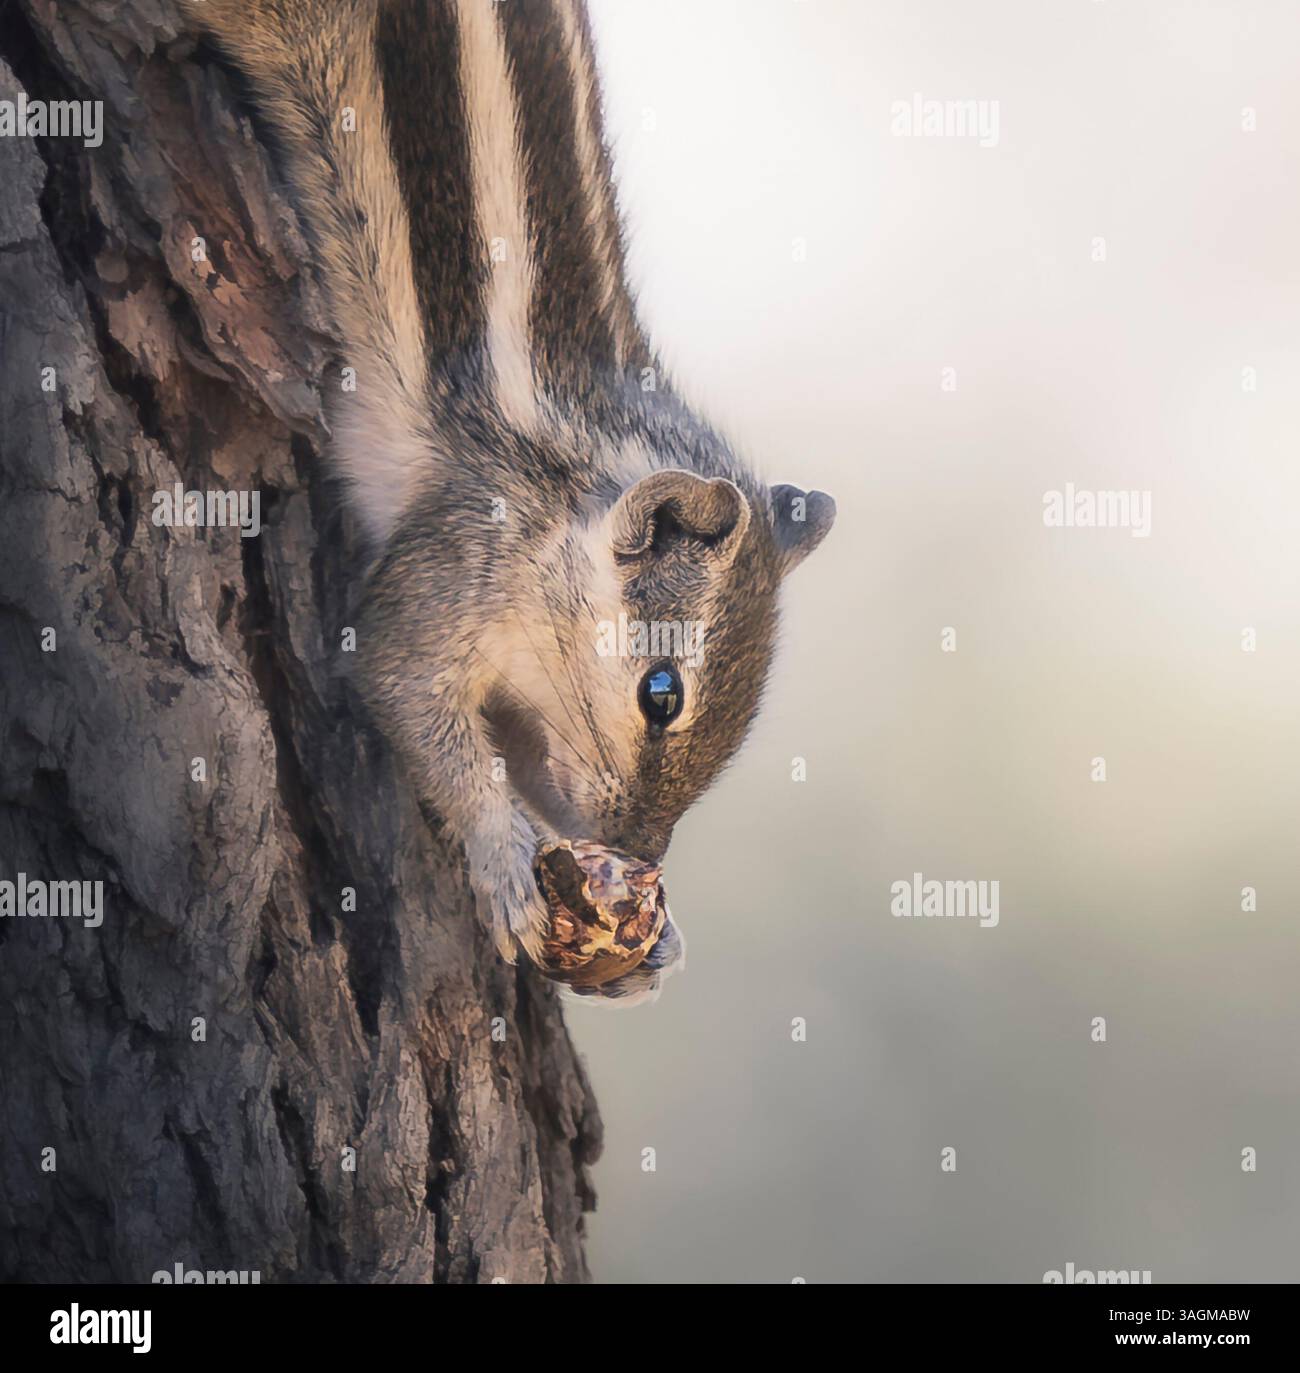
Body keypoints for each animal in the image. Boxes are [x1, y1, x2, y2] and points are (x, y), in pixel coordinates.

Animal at [183, 0, 835, 1001]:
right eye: (660, 694)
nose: (640, 850)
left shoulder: (545, 708)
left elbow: (535, 759)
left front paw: (659, 941)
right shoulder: (459, 551)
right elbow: (401, 680)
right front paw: (498, 856)